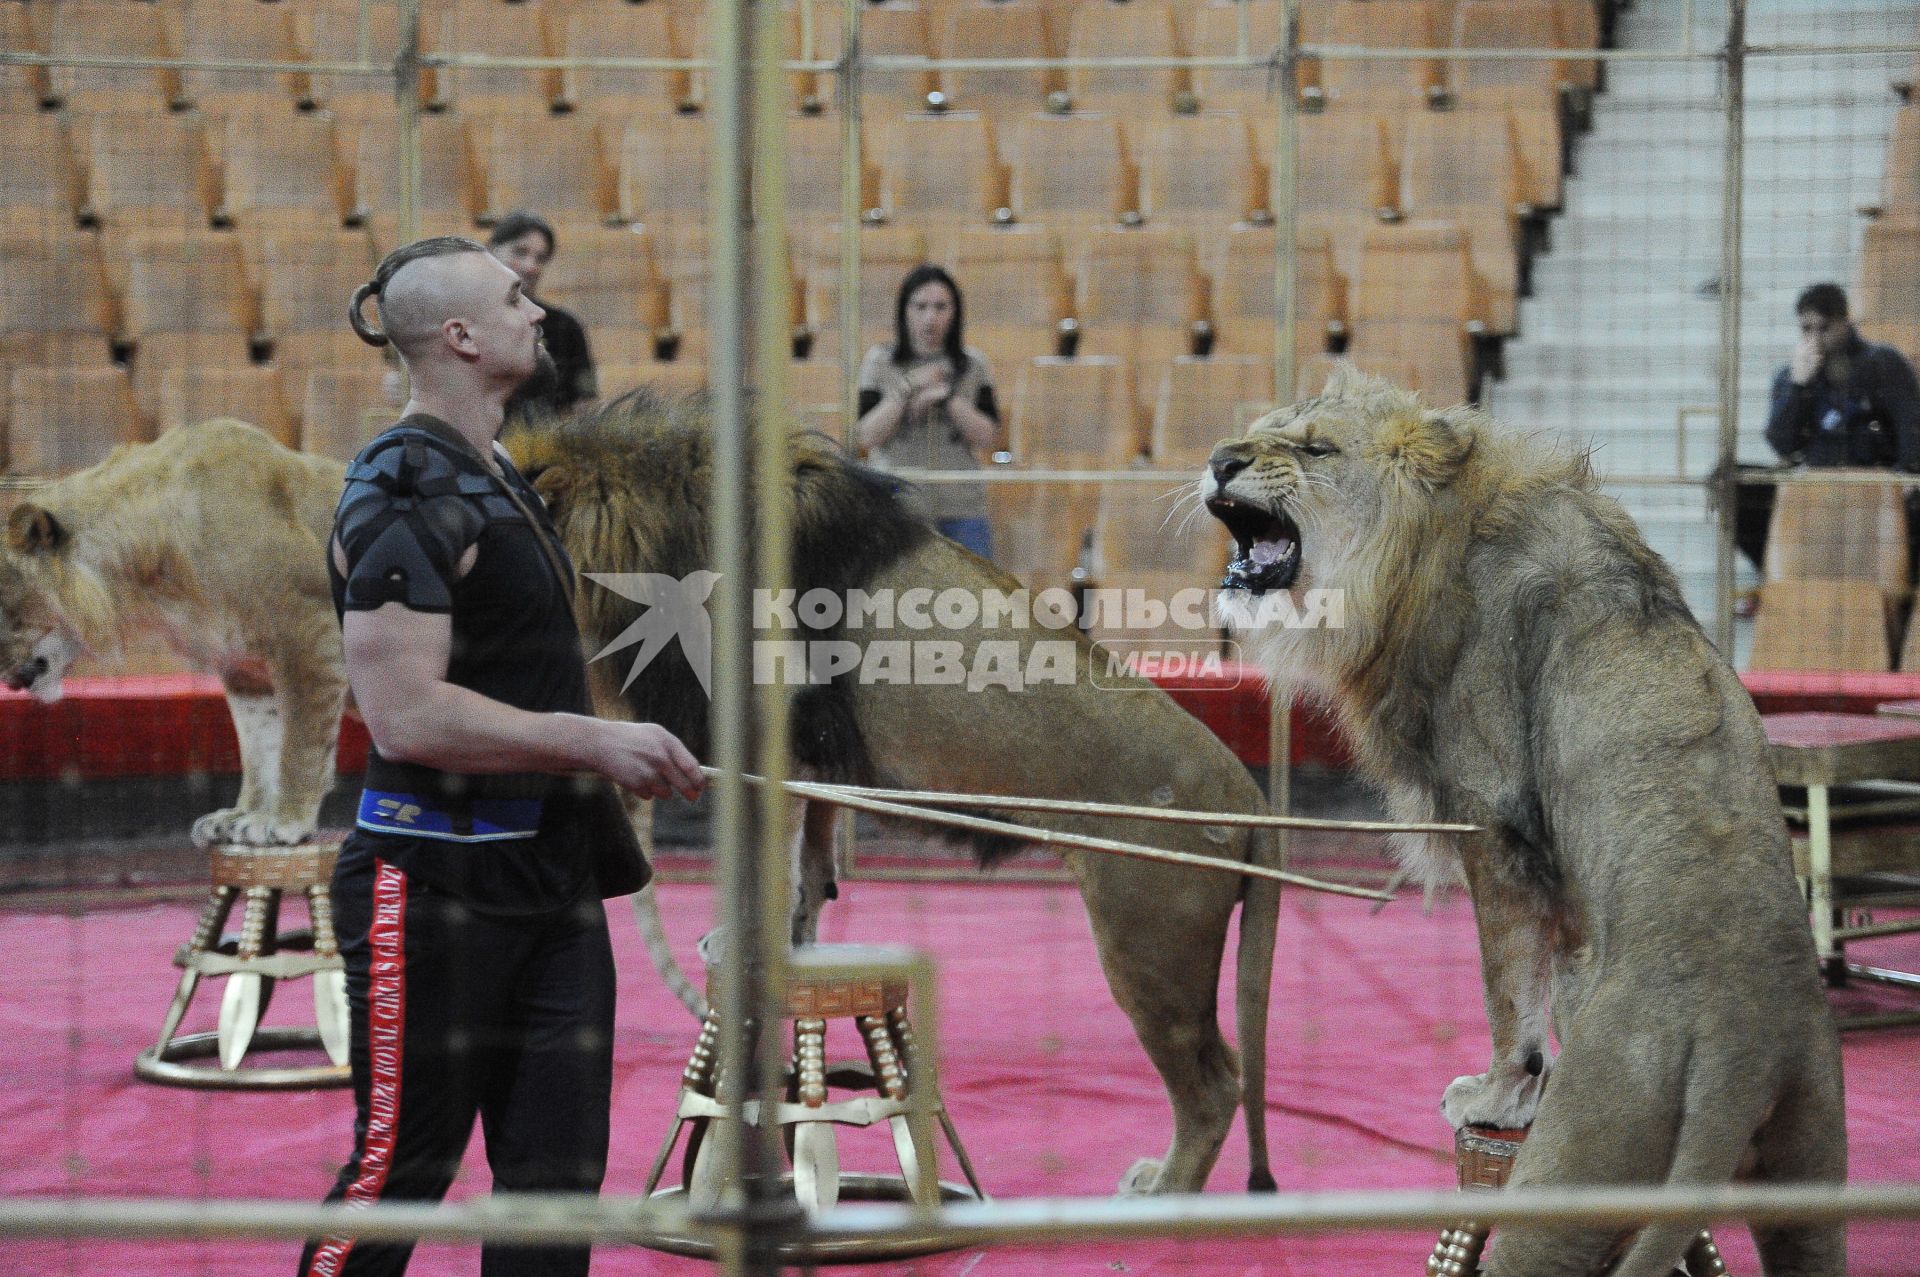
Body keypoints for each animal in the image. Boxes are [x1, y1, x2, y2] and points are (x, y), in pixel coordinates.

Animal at [0, 418, 351, 852]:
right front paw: (245, 815)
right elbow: (260, 746)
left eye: (2, 607)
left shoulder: (309, 631)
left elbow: (299, 743)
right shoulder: (244, 667)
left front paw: (286, 821)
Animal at [506, 391, 1290, 1198]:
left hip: (1150, 946)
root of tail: (1250, 799)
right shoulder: (813, 754)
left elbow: (768, 862)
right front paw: (795, 939)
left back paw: (1164, 1195)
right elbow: (808, 867)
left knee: (1213, 1086)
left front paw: (743, 939)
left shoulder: (772, 734)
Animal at [1198, 362, 1843, 1267]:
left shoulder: (1493, 822)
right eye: (1257, 430)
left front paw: (1500, 1092)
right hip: (1813, 1194)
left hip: (1567, 1189)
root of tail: (1740, 1055)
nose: (1220, 460)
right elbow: (1556, 968)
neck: (1420, 552)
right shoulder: (1560, 873)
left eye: (1316, 448)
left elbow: (1506, 985)